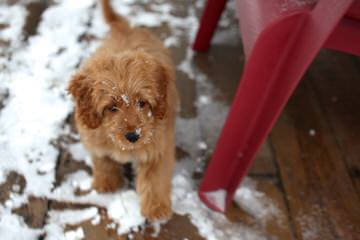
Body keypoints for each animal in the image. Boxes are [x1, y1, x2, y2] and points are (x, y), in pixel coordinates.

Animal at [67, 0, 177, 221]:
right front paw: (107, 183)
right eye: (112, 107)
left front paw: (156, 208)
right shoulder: (94, 138)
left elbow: (155, 178)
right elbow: (103, 162)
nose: (133, 136)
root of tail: (125, 28)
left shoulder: (158, 147)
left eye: (142, 103)